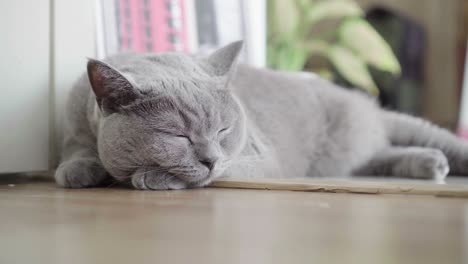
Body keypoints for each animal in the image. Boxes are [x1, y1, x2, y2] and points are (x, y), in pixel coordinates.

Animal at [56, 40, 468, 190]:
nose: (210, 159)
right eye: (178, 136)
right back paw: (431, 164)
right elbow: (77, 147)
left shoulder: (258, 159)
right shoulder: (77, 117)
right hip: (349, 158)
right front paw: (78, 170)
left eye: (223, 130)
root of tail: (367, 105)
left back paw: (438, 162)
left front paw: (151, 177)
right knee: (379, 158)